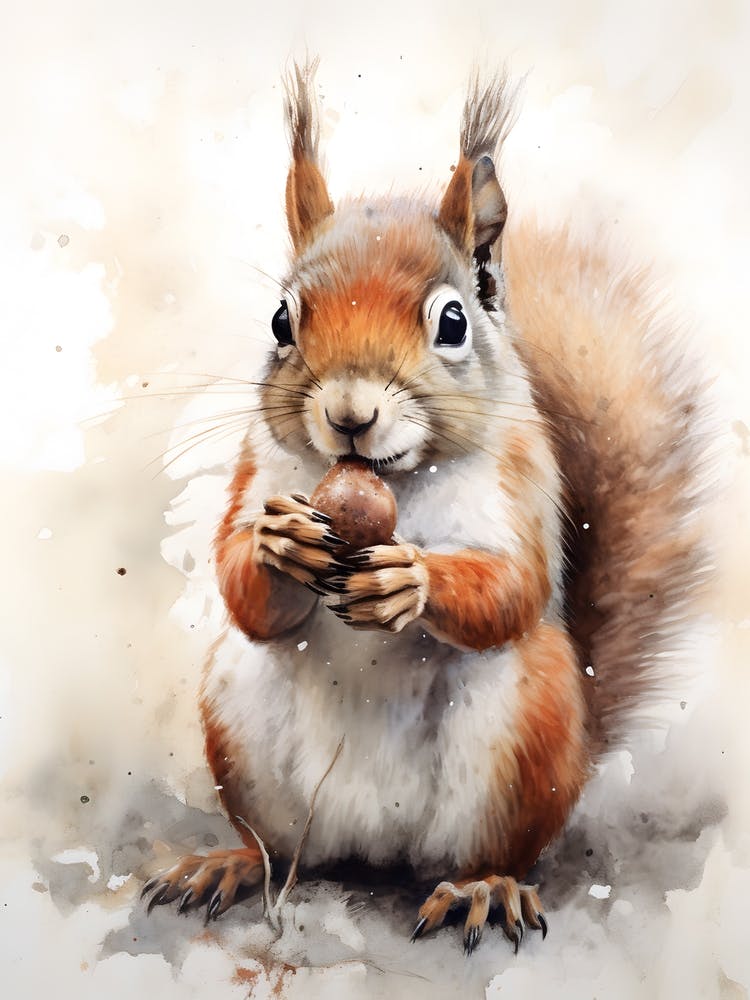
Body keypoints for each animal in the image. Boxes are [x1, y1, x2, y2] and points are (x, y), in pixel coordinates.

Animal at [142, 63, 708, 954]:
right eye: (280, 320)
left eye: (452, 321)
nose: (349, 413)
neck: (396, 483)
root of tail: (372, 846)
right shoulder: (255, 467)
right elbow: (241, 586)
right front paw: (279, 544)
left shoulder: (522, 484)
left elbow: (514, 587)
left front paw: (406, 581)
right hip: (238, 715)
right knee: (276, 850)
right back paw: (228, 865)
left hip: (526, 729)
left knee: (490, 848)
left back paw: (483, 889)